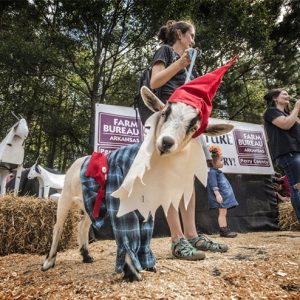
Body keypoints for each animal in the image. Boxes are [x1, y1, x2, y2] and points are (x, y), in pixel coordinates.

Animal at [42, 86, 233, 282]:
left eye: (194, 127)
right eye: (164, 113)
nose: (166, 142)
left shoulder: (147, 202)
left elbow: (144, 231)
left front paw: (146, 265)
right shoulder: (120, 199)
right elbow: (127, 231)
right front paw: (132, 271)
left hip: (91, 202)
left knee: (83, 225)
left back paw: (86, 255)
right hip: (65, 196)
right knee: (58, 226)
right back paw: (49, 262)